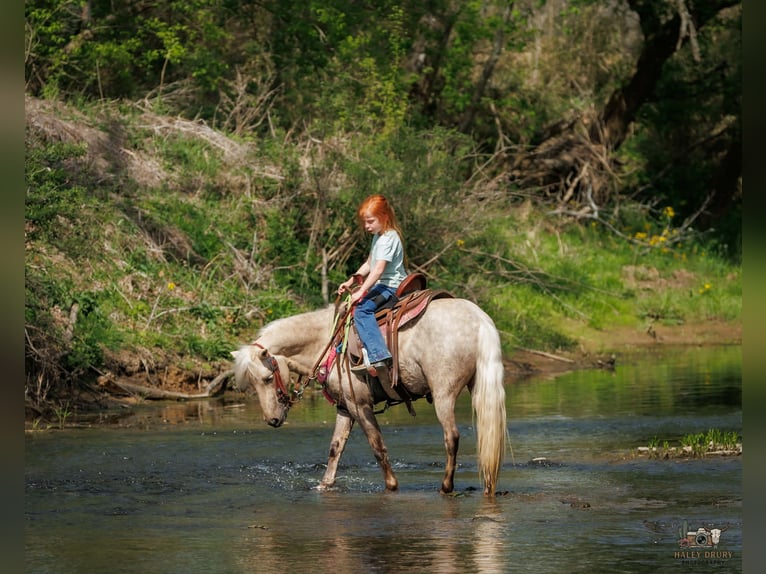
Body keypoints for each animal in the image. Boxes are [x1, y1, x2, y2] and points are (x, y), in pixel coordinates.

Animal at [230, 297, 507, 496]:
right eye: (252, 384)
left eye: (267, 378)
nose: (272, 420)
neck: (327, 343)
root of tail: (479, 319)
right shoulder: (344, 407)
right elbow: (335, 448)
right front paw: (324, 485)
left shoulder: (359, 404)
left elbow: (377, 445)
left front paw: (392, 485)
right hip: (477, 385)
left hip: (443, 394)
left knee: (452, 437)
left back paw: (446, 486)